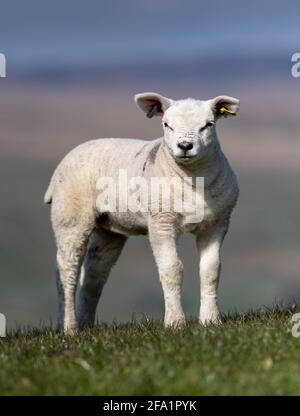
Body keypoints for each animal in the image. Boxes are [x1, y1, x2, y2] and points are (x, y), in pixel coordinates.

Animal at [44, 92, 240, 334]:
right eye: (166, 124)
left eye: (208, 125)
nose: (185, 145)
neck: (194, 180)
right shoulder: (160, 222)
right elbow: (172, 269)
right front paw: (175, 323)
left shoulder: (216, 223)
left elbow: (211, 270)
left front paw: (211, 320)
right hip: (71, 214)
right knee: (66, 269)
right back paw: (69, 328)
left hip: (109, 228)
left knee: (94, 273)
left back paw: (85, 323)